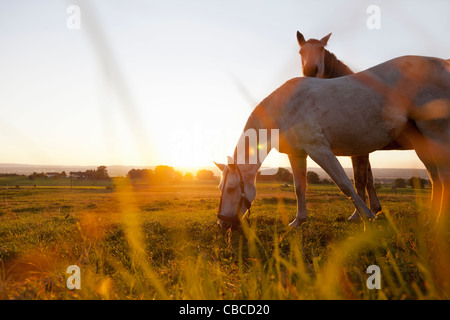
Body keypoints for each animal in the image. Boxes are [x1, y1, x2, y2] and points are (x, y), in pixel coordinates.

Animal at [214, 55, 450, 230]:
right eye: (220, 187)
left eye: (232, 188)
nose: (223, 224)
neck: (285, 107)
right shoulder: (297, 154)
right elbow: (299, 187)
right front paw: (298, 221)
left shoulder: (320, 150)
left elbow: (345, 184)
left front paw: (368, 217)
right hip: (423, 144)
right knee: (436, 180)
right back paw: (431, 222)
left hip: (436, 135)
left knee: (443, 179)